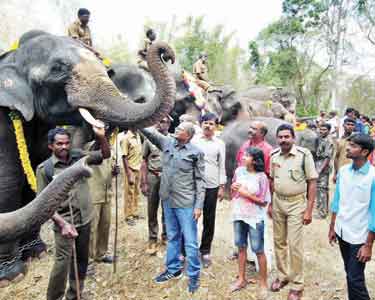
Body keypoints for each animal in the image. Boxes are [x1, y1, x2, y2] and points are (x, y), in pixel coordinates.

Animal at [0, 30, 176, 286]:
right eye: (58, 68)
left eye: (107, 70)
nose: (167, 53)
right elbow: (8, 181)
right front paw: (12, 276)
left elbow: (34, 175)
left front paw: (37, 253)